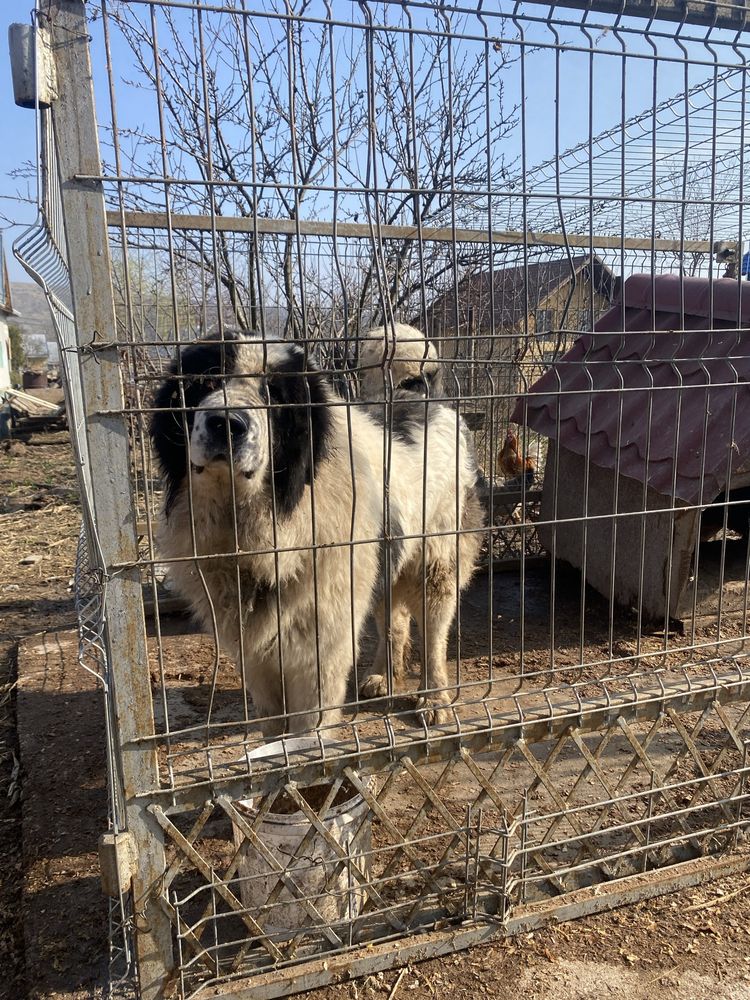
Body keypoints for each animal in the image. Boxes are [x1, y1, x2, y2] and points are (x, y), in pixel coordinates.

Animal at [150, 328, 484, 736]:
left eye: (274, 396)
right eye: (207, 382)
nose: (225, 423)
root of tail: (428, 401)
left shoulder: (320, 647)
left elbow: (310, 724)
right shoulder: (254, 652)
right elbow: (273, 718)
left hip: (436, 565)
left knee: (433, 637)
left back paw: (434, 699)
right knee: (394, 622)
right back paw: (382, 678)